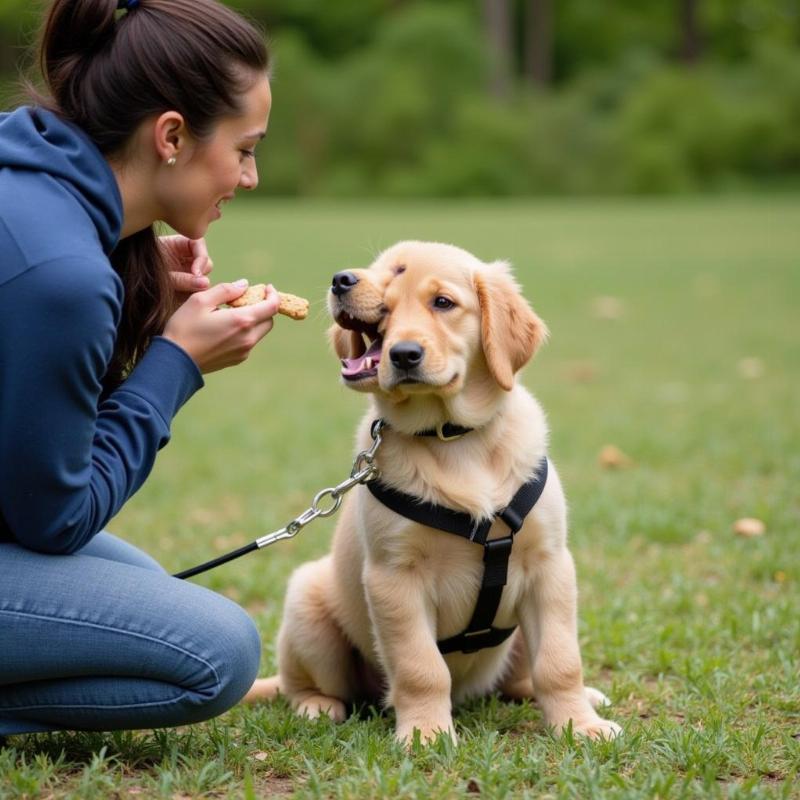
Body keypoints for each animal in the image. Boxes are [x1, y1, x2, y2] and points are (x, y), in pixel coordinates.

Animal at [247, 239, 620, 744]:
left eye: (443, 303)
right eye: (382, 276)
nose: (404, 354)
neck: (454, 438)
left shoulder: (550, 566)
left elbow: (560, 662)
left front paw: (579, 725)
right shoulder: (395, 578)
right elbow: (420, 667)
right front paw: (426, 735)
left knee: (518, 680)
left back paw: (585, 699)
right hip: (308, 603)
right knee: (306, 685)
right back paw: (316, 706)